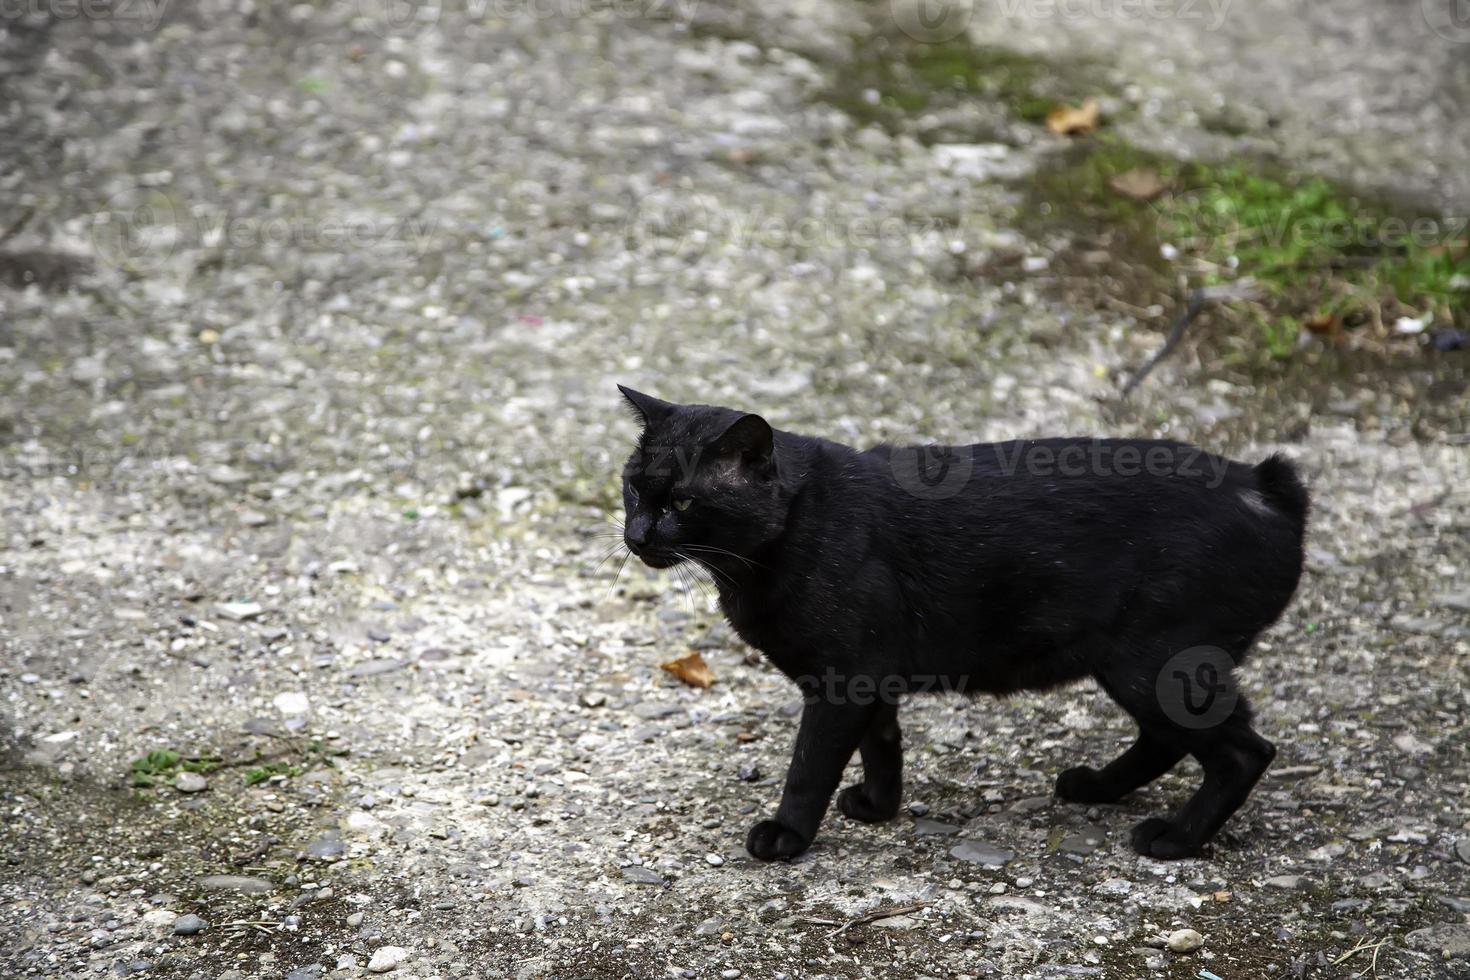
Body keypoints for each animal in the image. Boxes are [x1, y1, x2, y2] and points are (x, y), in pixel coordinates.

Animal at [614, 387, 1305, 863]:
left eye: (682, 501)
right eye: (634, 490)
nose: (637, 535)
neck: (795, 526)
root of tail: (1262, 485)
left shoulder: (843, 682)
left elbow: (810, 766)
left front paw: (787, 835)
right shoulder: (871, 680)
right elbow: (882, 744)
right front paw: (878, 807)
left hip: (1150, 662)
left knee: (1242, 752)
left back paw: (1176, 839)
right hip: (1140, 667)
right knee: (1170, 740)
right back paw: (1097, 787)